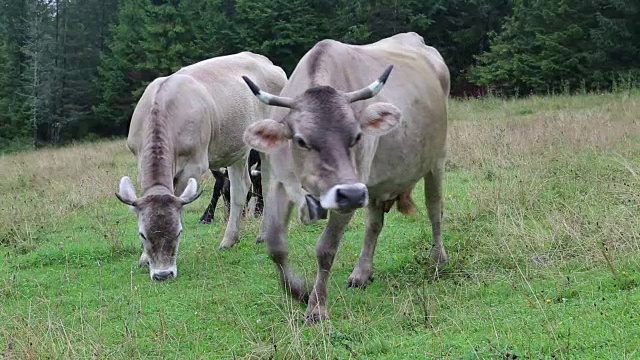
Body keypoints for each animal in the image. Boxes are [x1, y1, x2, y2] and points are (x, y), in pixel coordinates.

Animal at [114, 51, 284, 282]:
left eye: (178, 232)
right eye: (142, 234)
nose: (163, 274)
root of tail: (267, 62)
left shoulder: (193, 165)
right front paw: (143, 258)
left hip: (268, 141)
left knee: (266, 185)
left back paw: (262, 235)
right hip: (236, 149)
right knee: (240, 188)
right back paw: (229, 239)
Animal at [241, 32, 450, 322]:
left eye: (357, 136)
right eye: (301, 140)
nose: (351, 193)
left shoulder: (349, 191)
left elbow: (326, 249)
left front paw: (317, 306)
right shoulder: (281, 183)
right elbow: (275, 244)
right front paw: (298, 291)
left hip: (436, 159)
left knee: (434, 209)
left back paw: (437, 258)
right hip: (375, 184)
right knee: (374, 224)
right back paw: (362, 272)